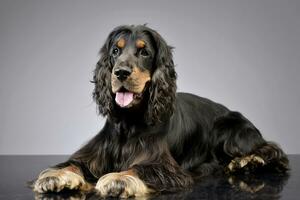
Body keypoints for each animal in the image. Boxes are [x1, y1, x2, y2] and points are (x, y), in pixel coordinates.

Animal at [32, 24, 288, 198]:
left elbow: (139, 167)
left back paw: (247, 161)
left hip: (230, 130)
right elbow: (74, 163)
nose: (121, 73)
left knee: (273, 151)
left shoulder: (165, 165)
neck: (129, 122)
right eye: (115, 51)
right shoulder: (95, 155)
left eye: (144, 52)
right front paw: (55, 176)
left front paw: (119, 178)